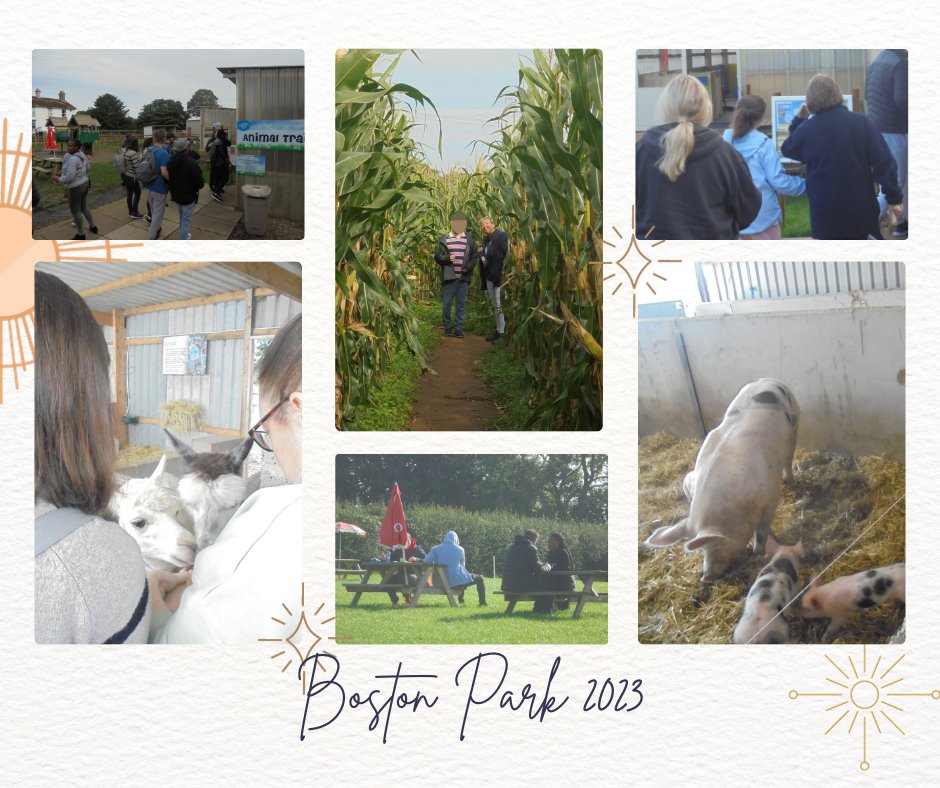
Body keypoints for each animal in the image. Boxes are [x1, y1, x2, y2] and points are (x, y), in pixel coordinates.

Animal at [648, 378, 800, 580]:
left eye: (717, 544)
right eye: (700, 550)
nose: (705, 577)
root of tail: (767, 380)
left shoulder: (770, 496)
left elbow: (762, 530)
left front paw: (759, 552)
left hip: (796, 421)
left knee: (789, 457)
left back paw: (791, 481)